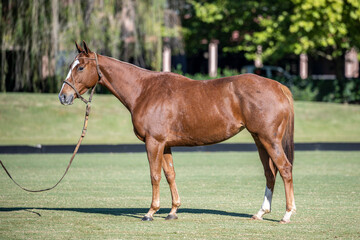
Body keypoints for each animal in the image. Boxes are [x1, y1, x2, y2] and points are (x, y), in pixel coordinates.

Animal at [58, 41, 296, 223]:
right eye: (71, 65)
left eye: (80, 68)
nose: (63, 96)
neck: (144, 90)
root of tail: (279, 86)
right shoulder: (165, 145)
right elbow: (170, 175)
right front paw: (173, 211)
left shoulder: (153, 142)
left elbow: (154, 176)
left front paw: (150, 212)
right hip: (259, 140)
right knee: (270, 173)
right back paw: (261, 212)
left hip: (269, 139)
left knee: (284, 169)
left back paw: (287, 214)